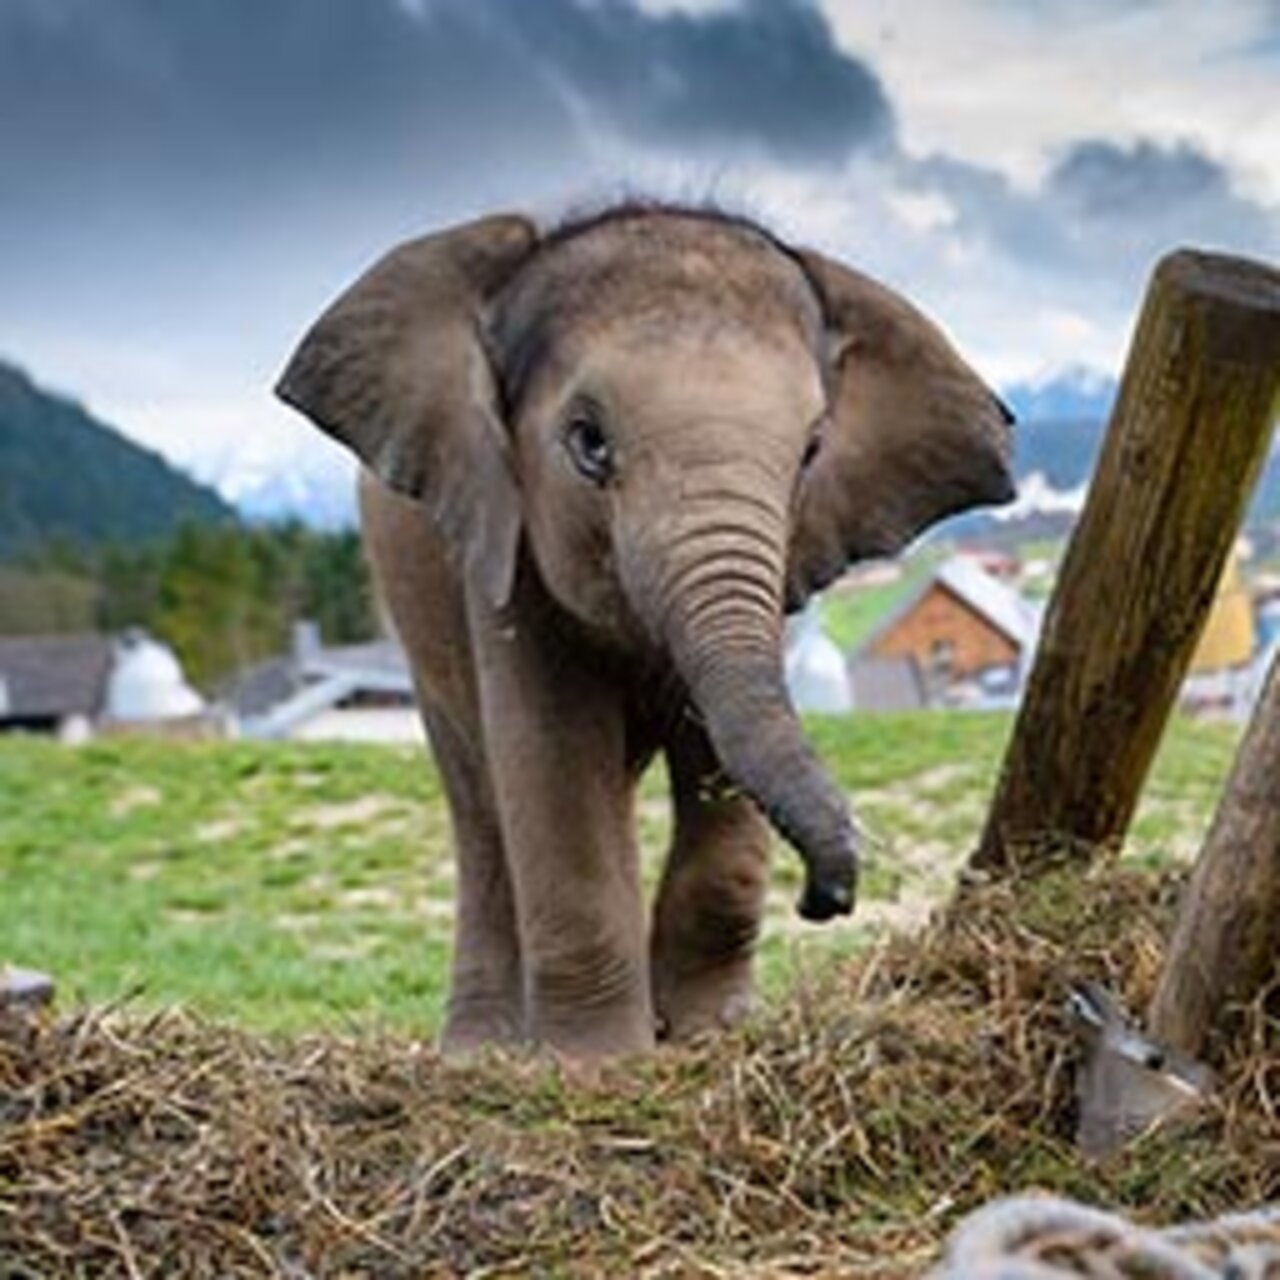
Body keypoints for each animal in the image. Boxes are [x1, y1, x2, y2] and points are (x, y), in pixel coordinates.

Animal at [277, 204, 1014, 1060]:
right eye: (588, 442)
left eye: (811, 451)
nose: (824, 901)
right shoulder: (503, 551)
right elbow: (554, 753)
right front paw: (595, 1065)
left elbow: (713, 770)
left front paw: (704, 1035)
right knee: (483, 808)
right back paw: (483, 1053)